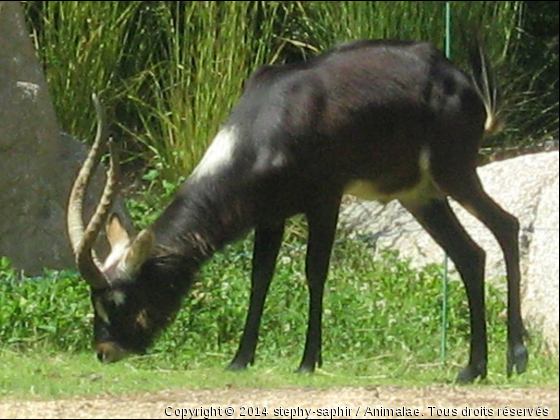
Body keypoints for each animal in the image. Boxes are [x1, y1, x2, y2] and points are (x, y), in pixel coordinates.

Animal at [68, 37, 528, 382]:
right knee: (470, 254)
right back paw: (473, 368)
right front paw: (240, 360)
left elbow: (315, 272)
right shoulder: (269, 214)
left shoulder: (324, 200)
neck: (270, 123)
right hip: (420, 195)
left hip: (455, 173)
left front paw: (308, 361)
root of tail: (460, 81)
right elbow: (260, 278)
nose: (105, 350)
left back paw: (515, 357)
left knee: (506, 226)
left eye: (119, 299)